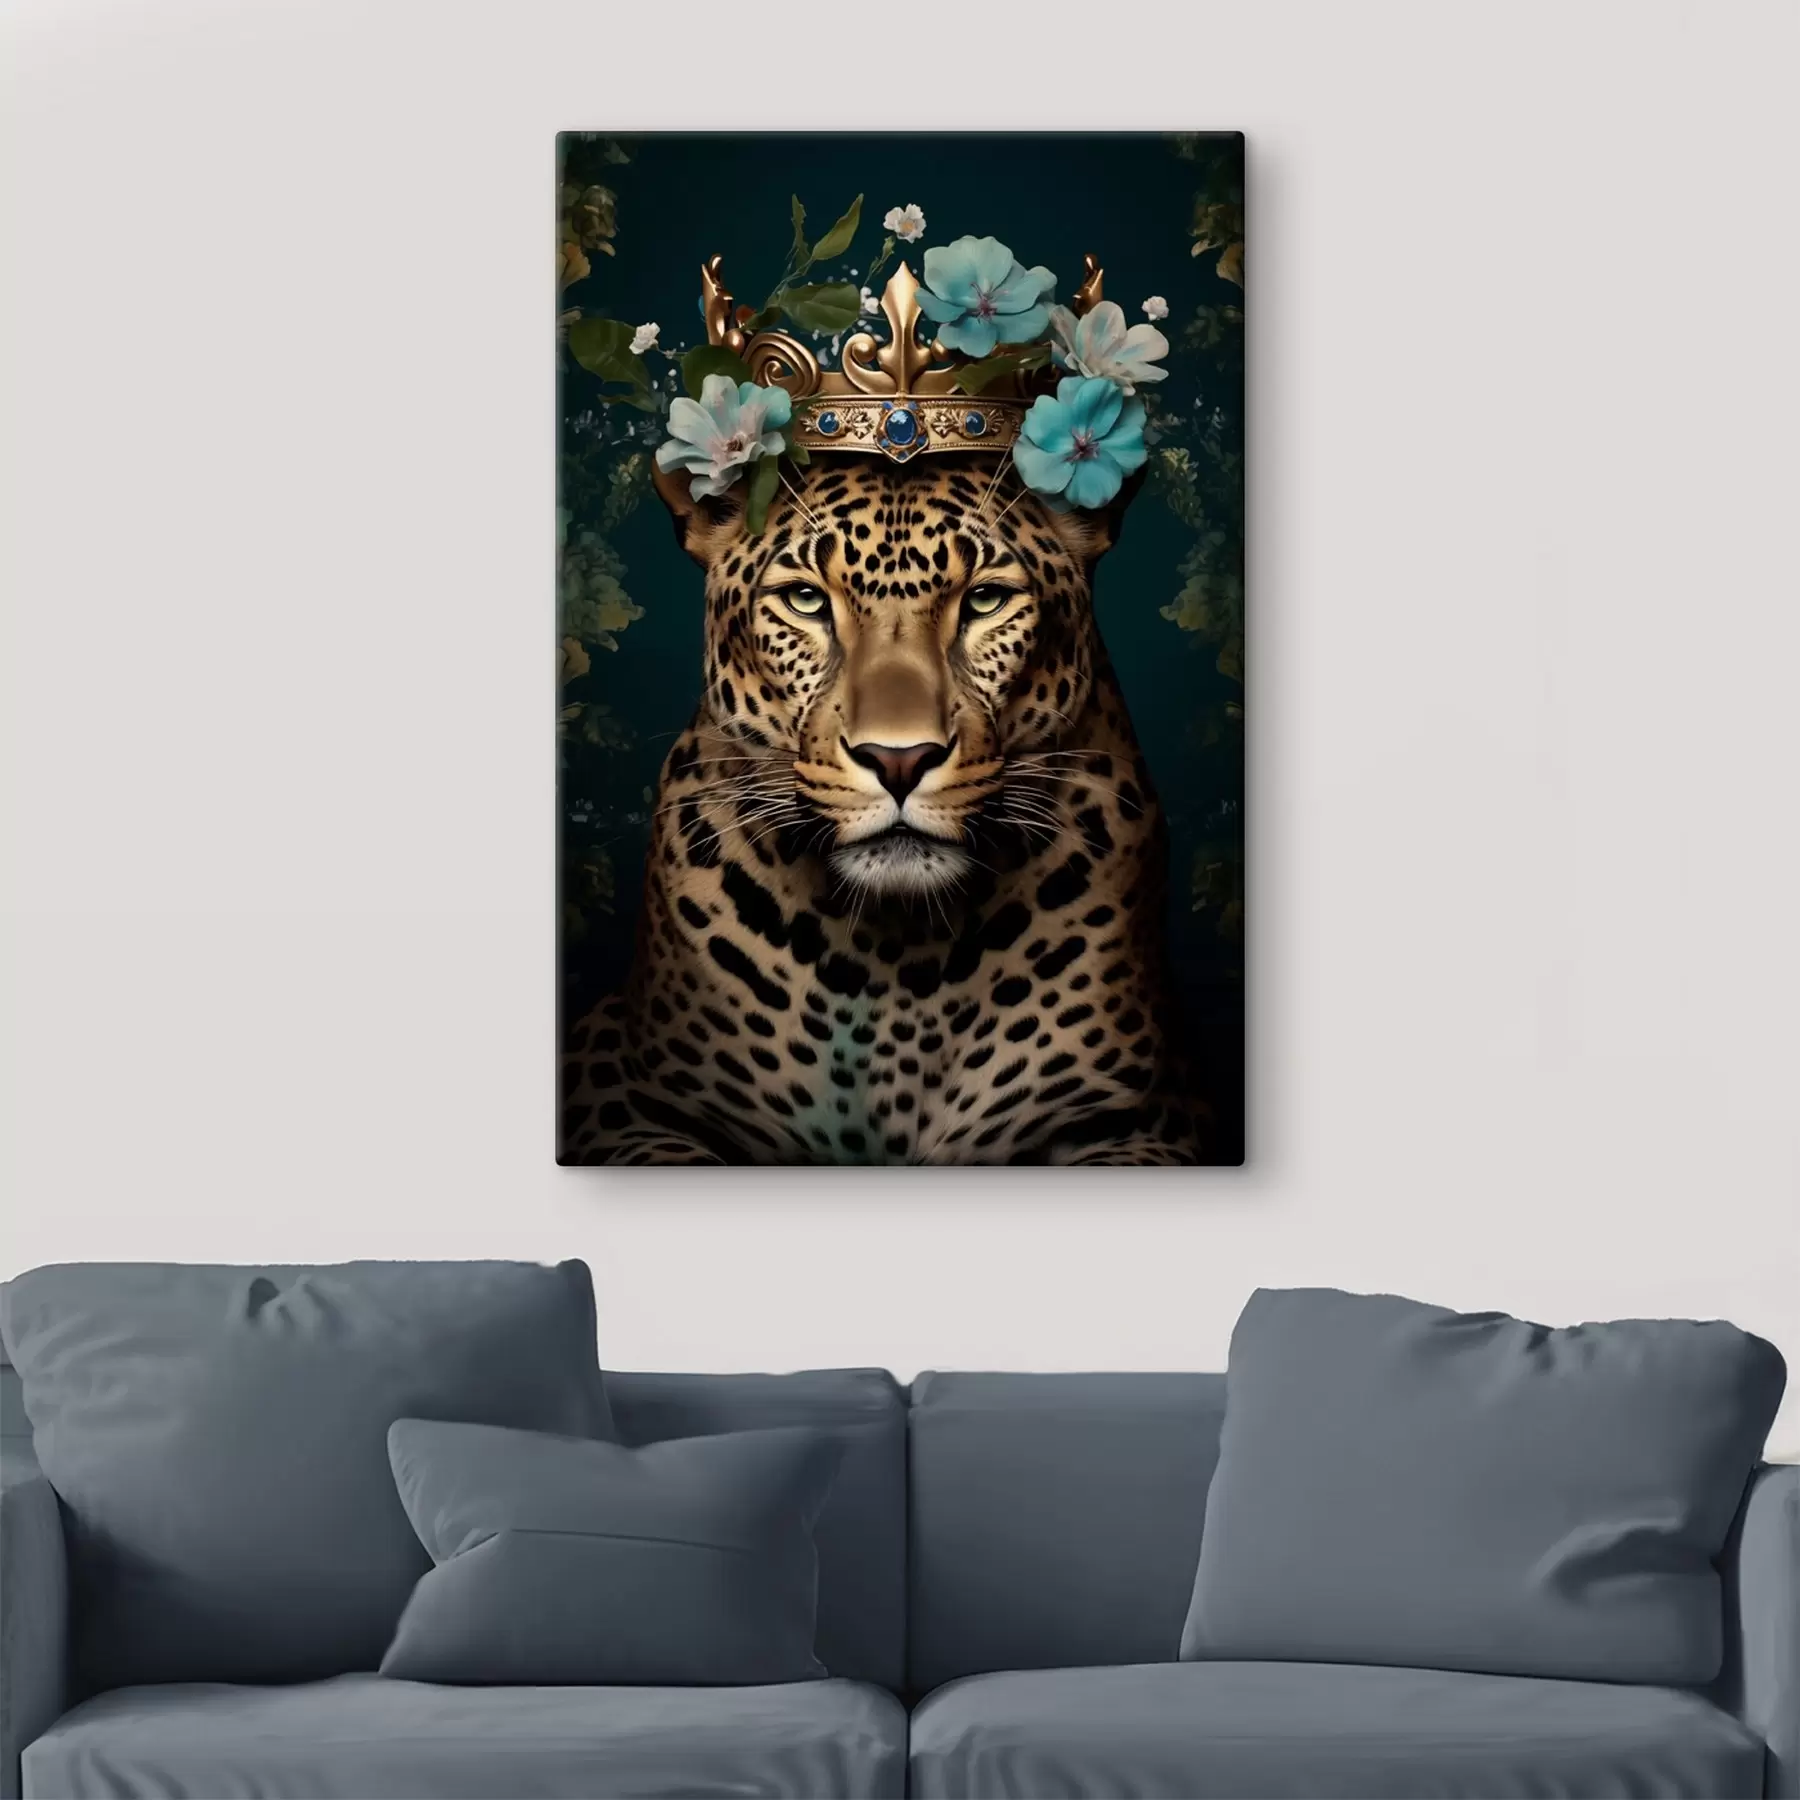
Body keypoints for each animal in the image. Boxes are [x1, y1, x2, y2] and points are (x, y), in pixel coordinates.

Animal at [558, 450, 1205, 1166]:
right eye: (806, 600)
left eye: (985, 600)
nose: (899, 761)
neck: (898, 955)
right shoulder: (623, 1089)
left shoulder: (1141, 1118)